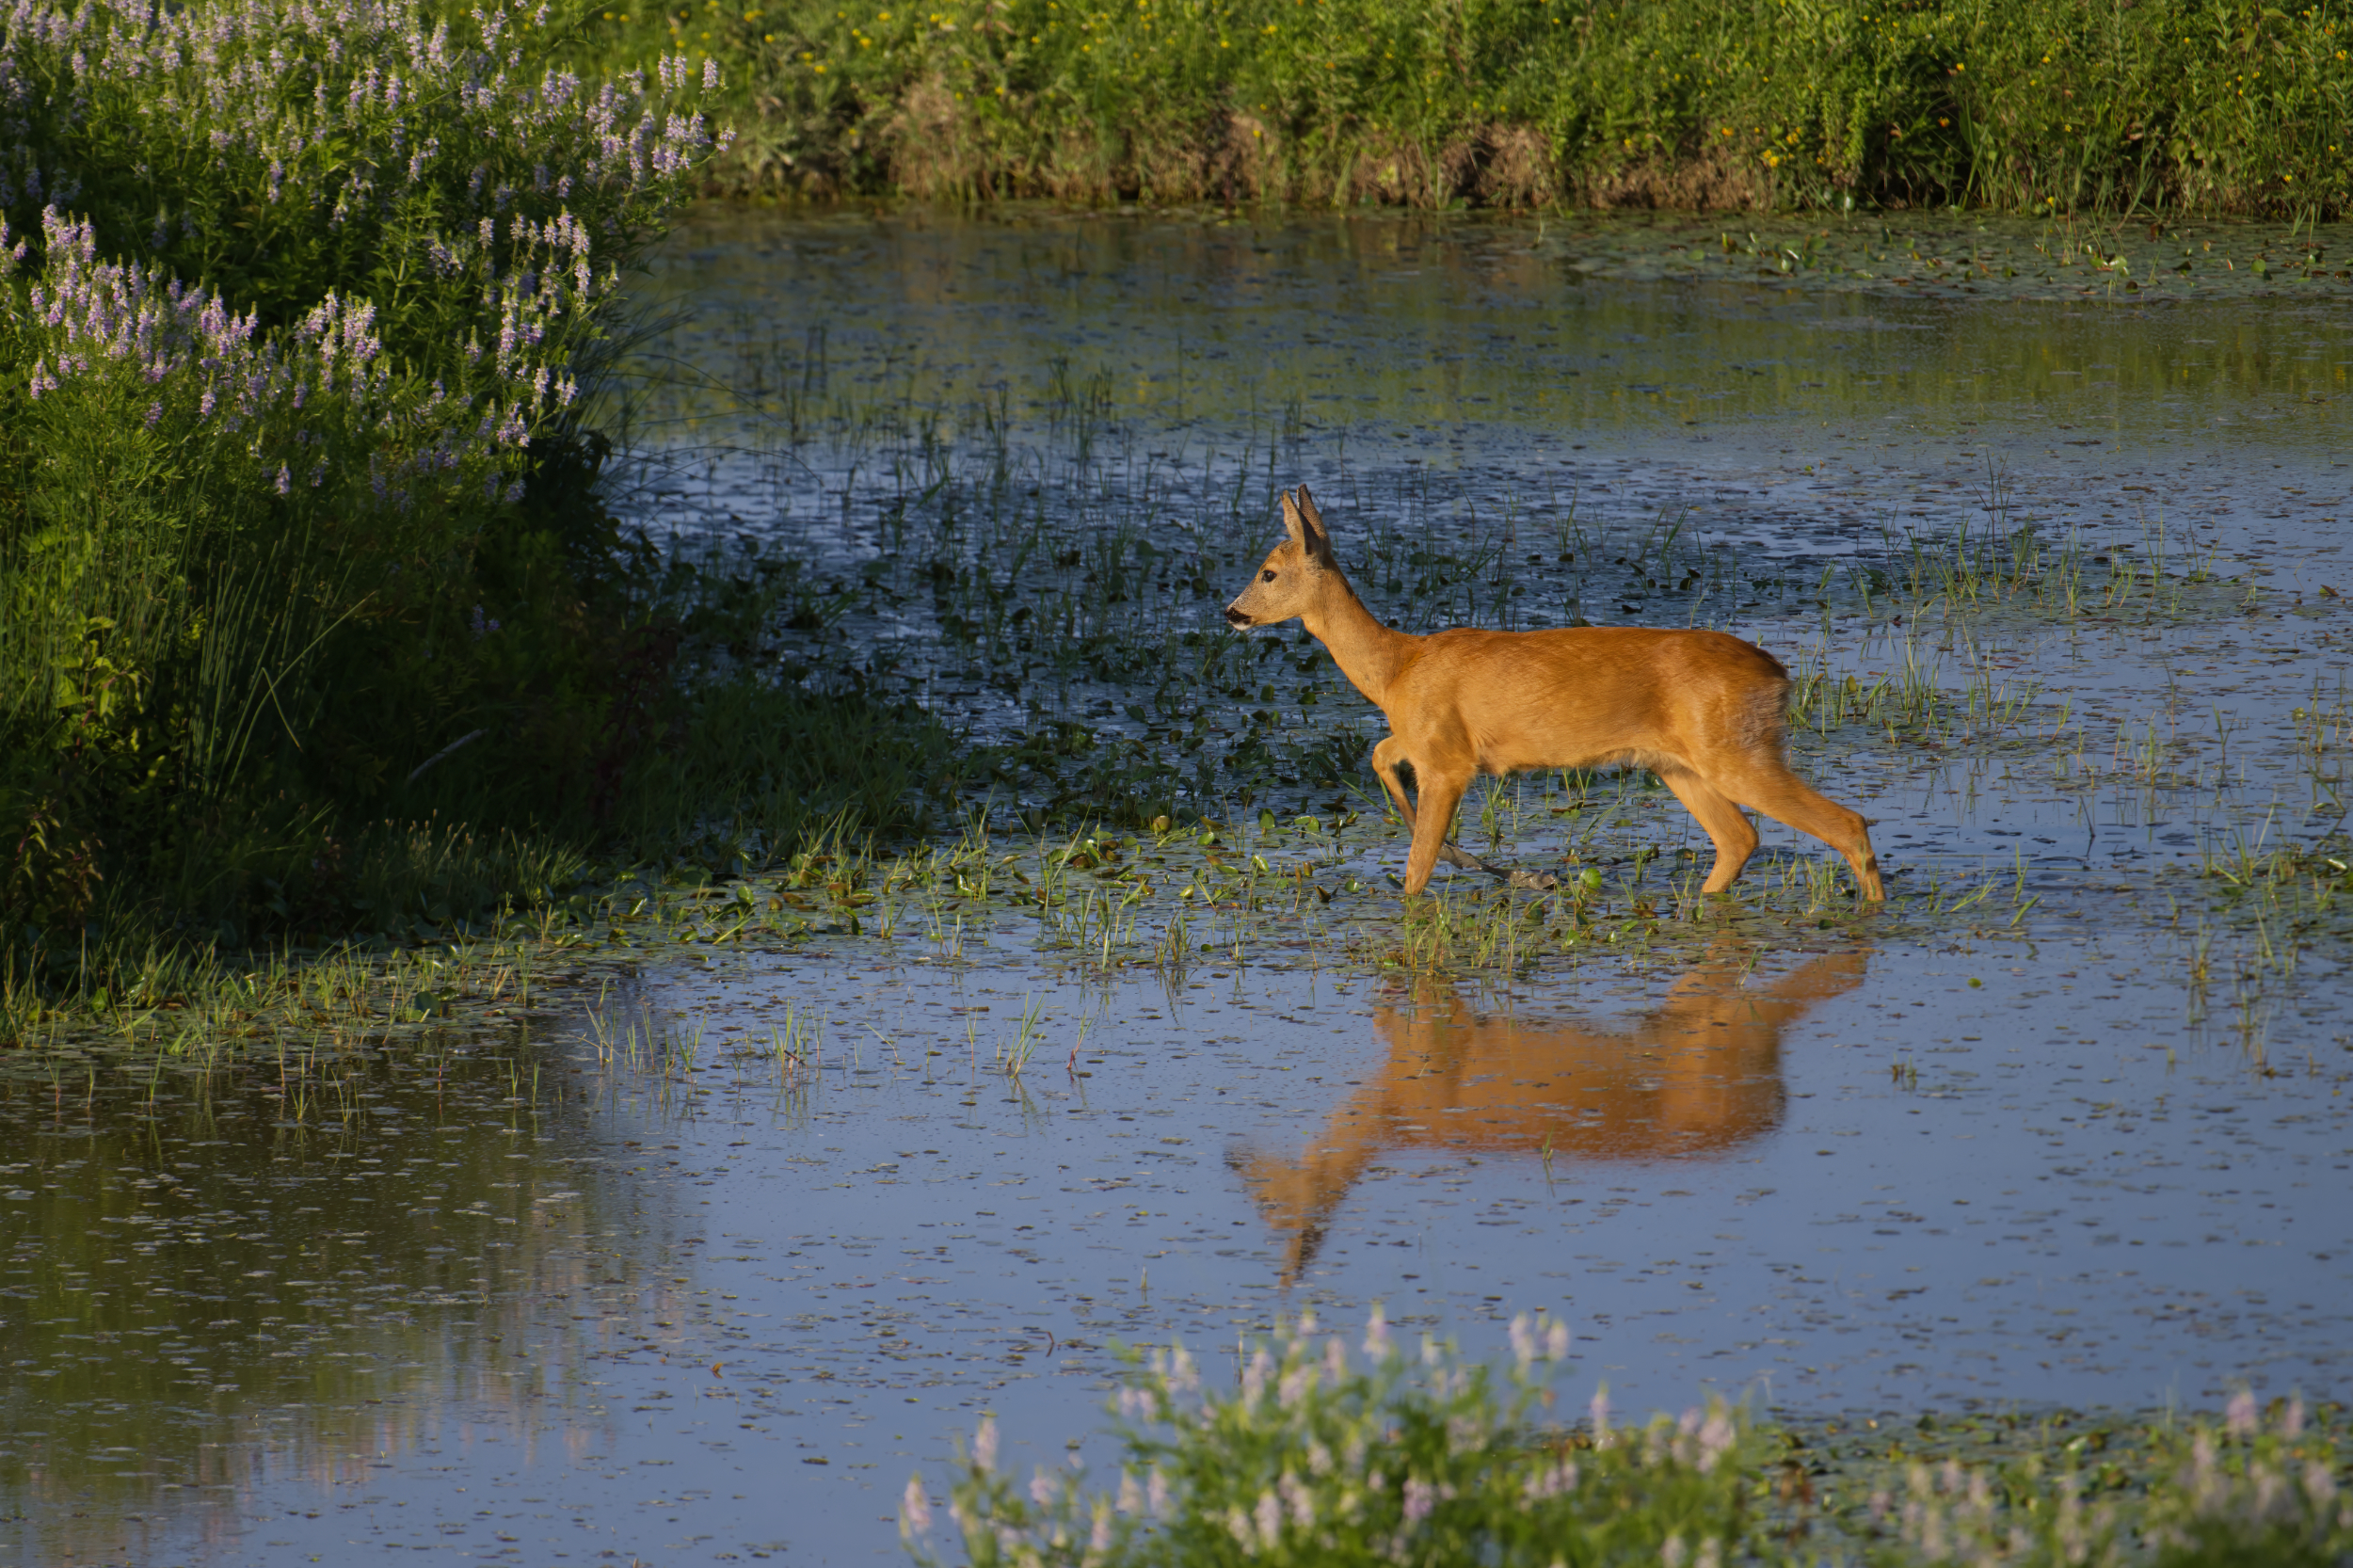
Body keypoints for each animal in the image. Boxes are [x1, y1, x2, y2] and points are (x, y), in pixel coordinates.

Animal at [1222, 485, 1883, 901]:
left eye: (1268, 573)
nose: (1232, 613)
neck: (1396, 667)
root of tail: (1778, 673)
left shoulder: (1449, 760)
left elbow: (1416, 869)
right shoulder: (1418, 739)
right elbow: (1380, 756)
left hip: (1735, 748)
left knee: (1846, 823)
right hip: (1680, 765)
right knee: (1740, 839)